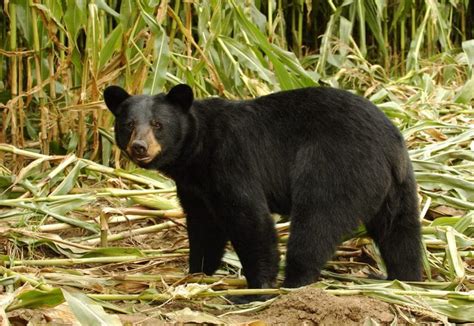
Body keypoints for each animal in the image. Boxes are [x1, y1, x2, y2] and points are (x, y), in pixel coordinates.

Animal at [103, 84, 422, 298]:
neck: (197, 151)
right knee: (400, 232)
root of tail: (390, 144)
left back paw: (295, 284)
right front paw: (197, 273)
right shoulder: (196, 187)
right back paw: (405, 279)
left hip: (334, 167)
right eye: (128, 124)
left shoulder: (231, 161)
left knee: (316, 223)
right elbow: (204, 227)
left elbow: (250, 220)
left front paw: (256, 288)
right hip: (397, 187)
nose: (139, 147)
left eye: (158, 124)